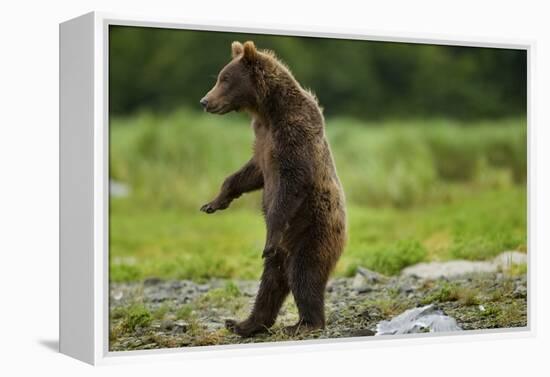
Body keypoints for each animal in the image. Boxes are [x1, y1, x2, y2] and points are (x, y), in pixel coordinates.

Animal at [198, 41, 348, 334]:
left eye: (225, 79)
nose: (205, 101)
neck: (267, 110)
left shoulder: (293, 135)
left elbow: (291, 184)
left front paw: (269, 233)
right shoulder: (262, 140)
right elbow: (250, 172)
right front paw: (214, 202)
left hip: (314, 230)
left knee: (304, 274)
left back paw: (305, 323)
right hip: (284, 252)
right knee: (271, 281)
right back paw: (244, 323)